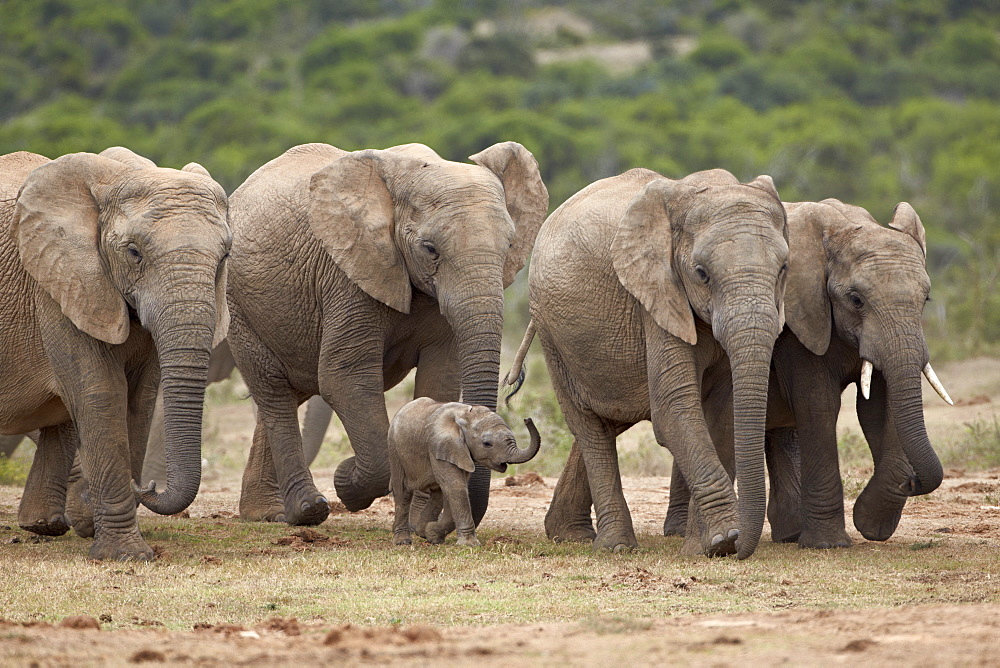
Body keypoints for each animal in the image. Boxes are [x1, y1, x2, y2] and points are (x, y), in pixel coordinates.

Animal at [0, 149, 229, 560]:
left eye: (224, 257)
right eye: (134, 253)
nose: (148, 486)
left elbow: (140, 399)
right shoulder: (60, 280)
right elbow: (101, 392)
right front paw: (126, 555)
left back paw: (45, 525)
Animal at [228, 142, 548, 528]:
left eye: (510, 245)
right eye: (430, 249)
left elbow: (440, 377)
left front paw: (422, 521)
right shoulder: (348, 274)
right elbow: (344, 377)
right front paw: (347, 481)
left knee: (292, 389)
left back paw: (266, 513)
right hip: (239, 305)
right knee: (274, 391)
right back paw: (308, 510)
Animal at [388, 396, 540, 548]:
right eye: (487, 444)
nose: (527, 419)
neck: (465, 416)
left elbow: (455, 488)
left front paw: (433, 534)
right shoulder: (439, 445)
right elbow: (456, 487)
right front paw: (470, 544)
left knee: (437, 493)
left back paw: (422, 531)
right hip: (395, 451)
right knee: (402, 492)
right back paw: (403, 541)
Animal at [508, 167, 788, 560]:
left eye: (784, 269)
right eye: (701, 273)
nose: (742, 547)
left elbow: (723, 412)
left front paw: (708, 547)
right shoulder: (654, 295)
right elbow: (674, 408)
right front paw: (726, 538)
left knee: (608, 420)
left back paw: (570, 535)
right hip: (550, 330)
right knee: (588, 425)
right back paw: (615, 546)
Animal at [668, 201, 948, 544]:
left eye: (925, 299)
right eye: (855, 299)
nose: (914, 483)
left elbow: (879, 405)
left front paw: (871, 523)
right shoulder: (798, 323)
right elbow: (819, 404)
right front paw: (829, 544)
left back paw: (787, 534)